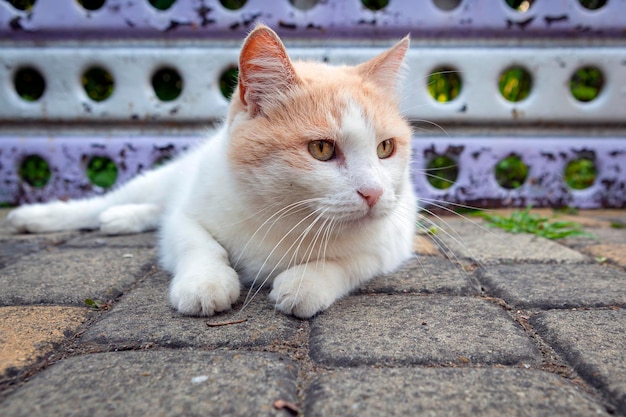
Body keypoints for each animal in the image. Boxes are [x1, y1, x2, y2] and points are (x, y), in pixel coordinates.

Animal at [7, 25, 414, 318]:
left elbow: (347, 262)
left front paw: (306, 283)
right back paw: (43, 216)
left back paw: (121, 219)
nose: (374, 193)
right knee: (108, 205)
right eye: (322, 149)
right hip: (161, 180)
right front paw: (206, 283)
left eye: (385, 148)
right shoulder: (187, 216)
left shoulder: (391, 240)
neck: (290, 219)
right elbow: (199, 244)